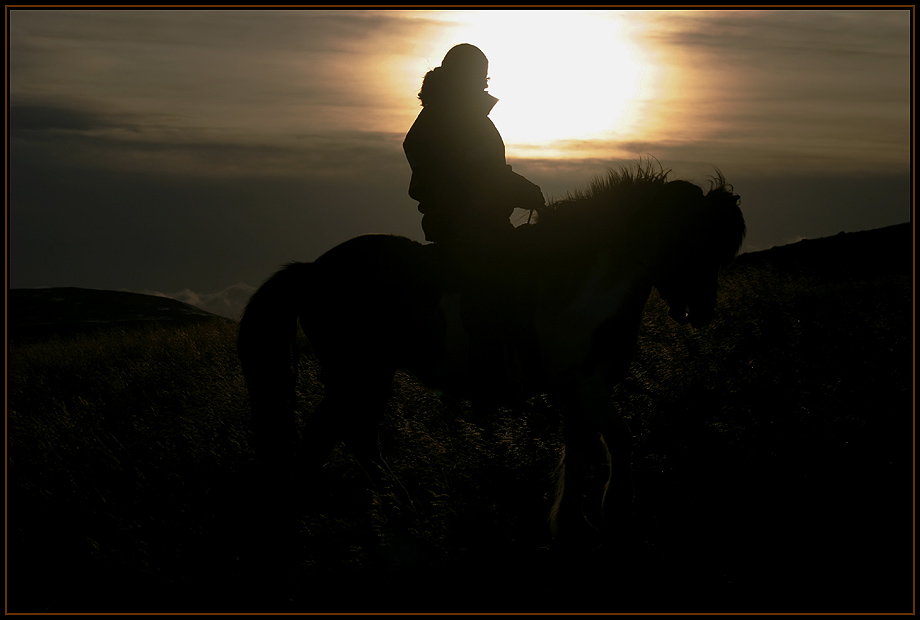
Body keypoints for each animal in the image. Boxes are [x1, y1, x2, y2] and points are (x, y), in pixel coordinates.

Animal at [235, 165, 740, 548]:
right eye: (694, 239)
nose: (702, 311)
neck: (586, 279)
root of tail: (311, 271)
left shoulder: (578, 389)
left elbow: (579, 450)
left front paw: (572, 524)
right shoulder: (586, 383)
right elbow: (619, 440)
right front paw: (615, 512)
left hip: (366, 376)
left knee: (355, 437)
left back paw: (402, 512)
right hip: (359, 373)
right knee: (329, 436)